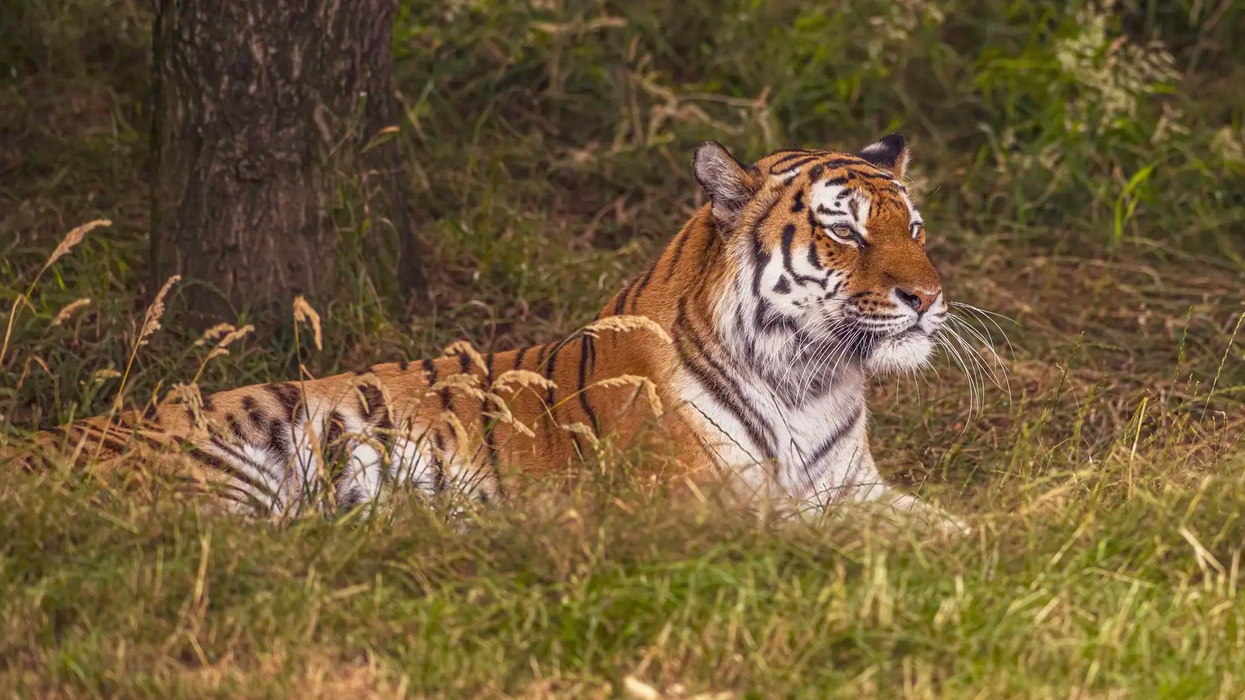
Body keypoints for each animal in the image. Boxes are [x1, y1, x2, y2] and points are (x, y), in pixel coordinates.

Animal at [12, 134, 965, 531]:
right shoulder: (703, 506)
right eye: (843, 232)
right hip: (230, 463)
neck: (810, 380)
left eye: (912, 228)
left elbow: (961, 527)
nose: (927, 296)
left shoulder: (856, 486)